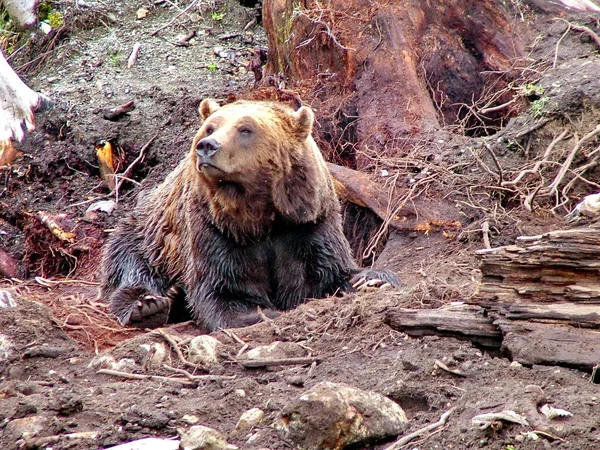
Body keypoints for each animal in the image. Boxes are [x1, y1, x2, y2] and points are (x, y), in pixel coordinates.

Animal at [98, 99, 398, 330]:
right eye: (211, 126)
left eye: (245, 129)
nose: (207, 145)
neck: (261, 217)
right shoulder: (215, 230)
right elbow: (225, 290)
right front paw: (257, 313)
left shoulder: (307, 224)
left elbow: (328, 271)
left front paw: (372, 280)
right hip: (146, 238)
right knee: (131, 269)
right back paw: (149, 305)